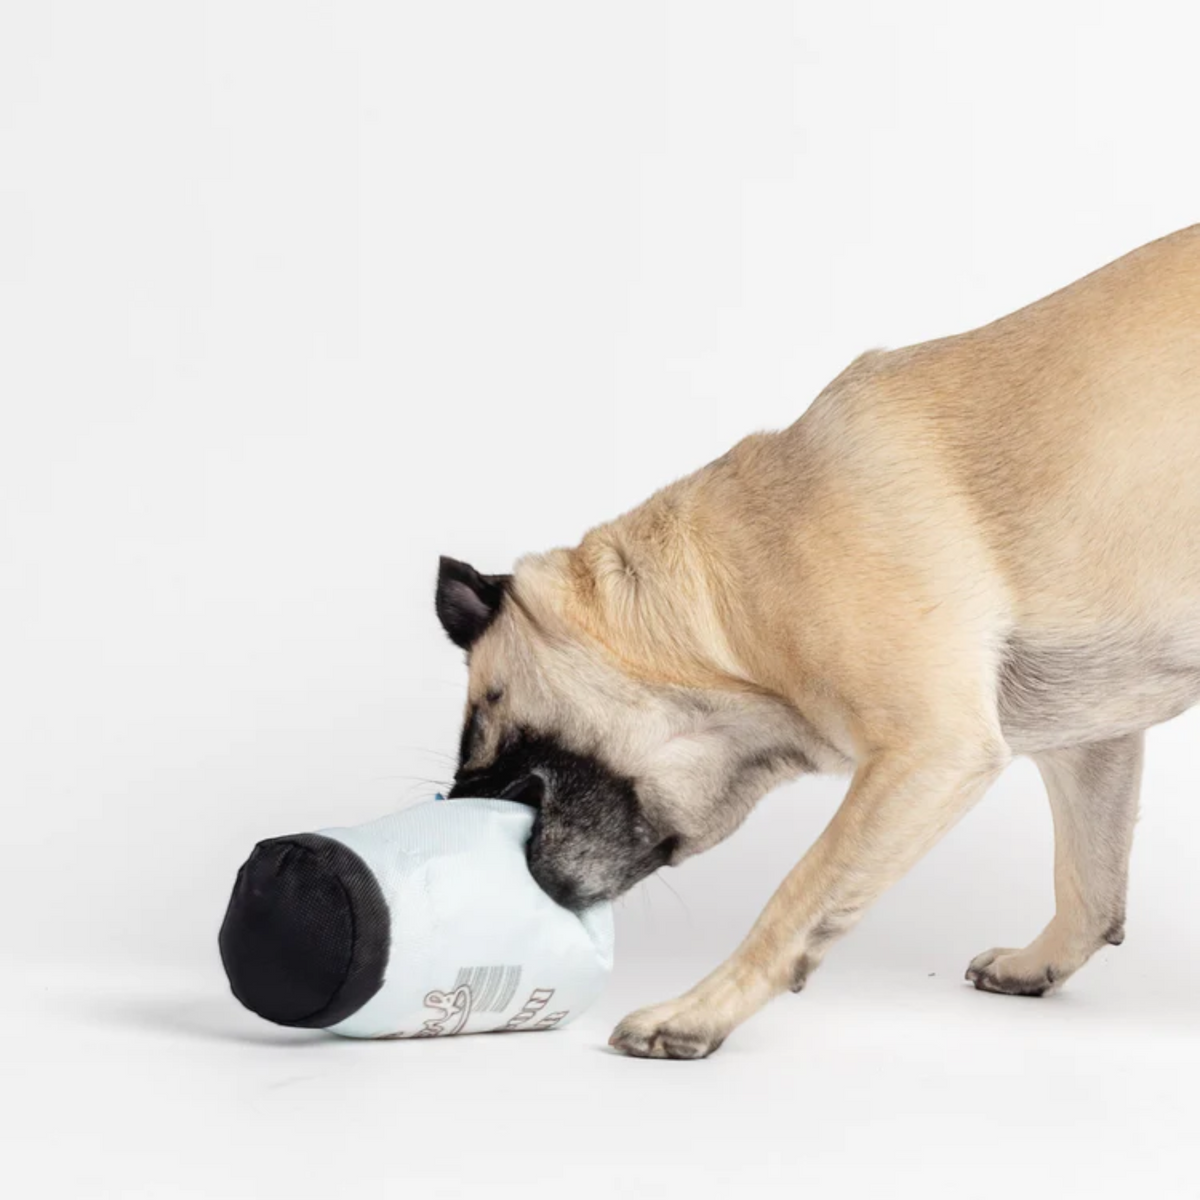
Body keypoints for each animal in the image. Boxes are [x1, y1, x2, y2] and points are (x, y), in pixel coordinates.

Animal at [436, 225, 1195, 1060]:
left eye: (506, 756)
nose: (472, 835)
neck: (729, 595)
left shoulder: (927, 755)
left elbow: (797, 899)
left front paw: (696, 1013)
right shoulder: (1090, 742)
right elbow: (1090, 880)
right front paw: (1043, 960)